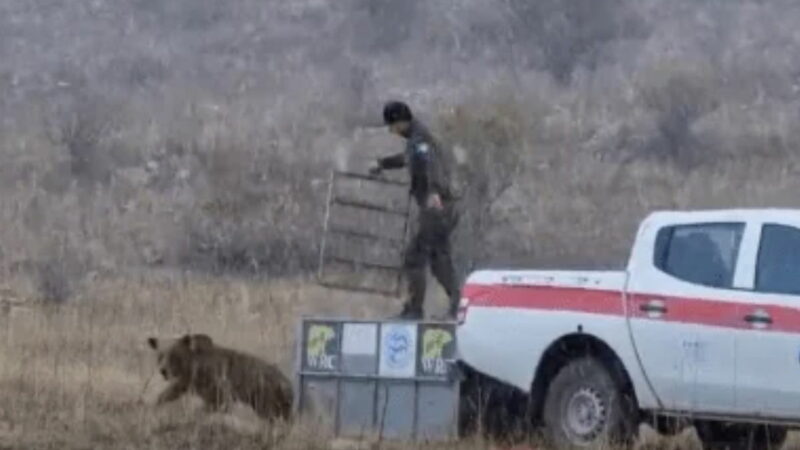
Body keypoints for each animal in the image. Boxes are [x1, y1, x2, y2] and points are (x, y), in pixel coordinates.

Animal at [147, 332, 294, 424]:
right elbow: (170, 392)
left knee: (271, 414)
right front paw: (155, 404)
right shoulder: (187, 382)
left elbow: (219, 402)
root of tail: (287, 382)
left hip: (266, 393)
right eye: (160, 355)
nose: (163, 371)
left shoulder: (215, 382)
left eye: (174, 355)